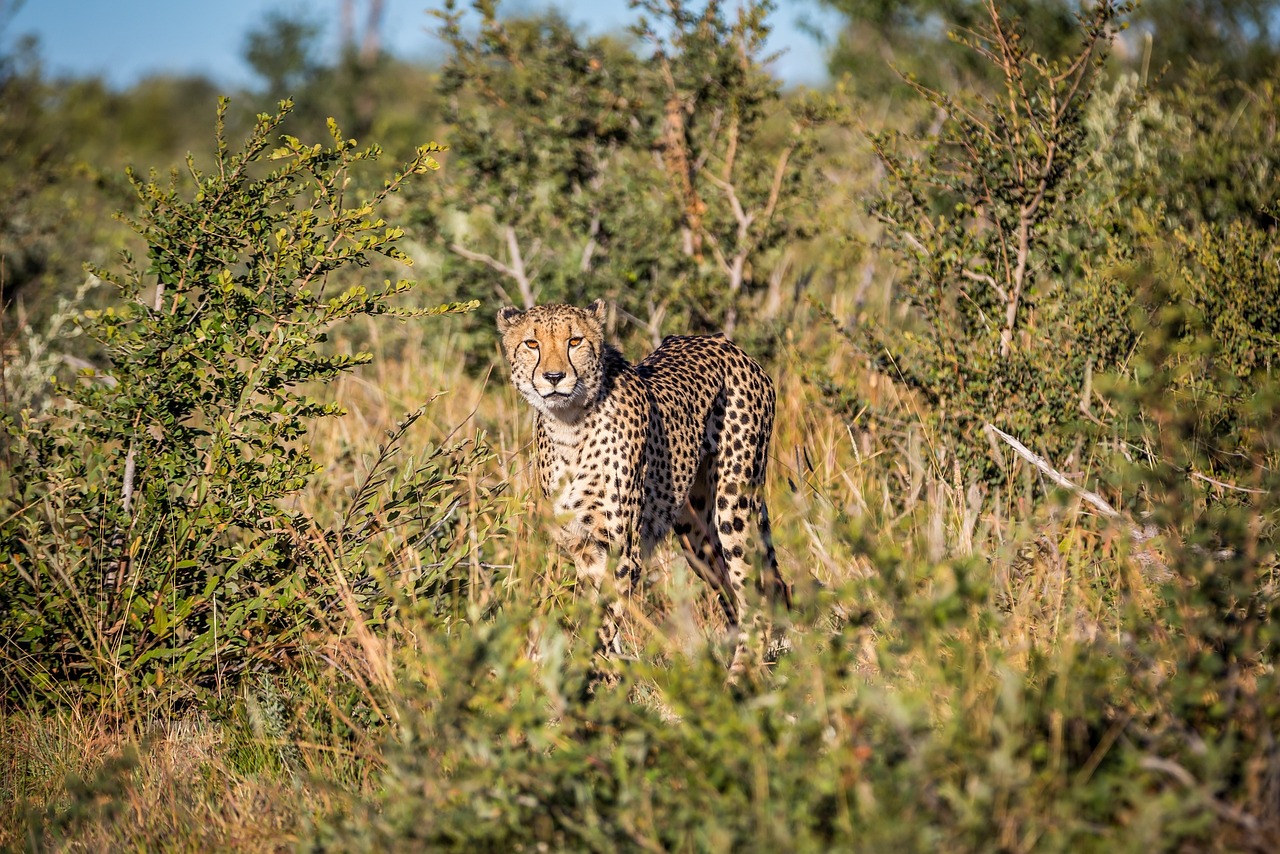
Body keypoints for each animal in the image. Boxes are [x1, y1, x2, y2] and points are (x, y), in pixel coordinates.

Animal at [499, 300, 788, 676]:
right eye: (531, 344)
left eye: (574, 341)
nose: (553, 377)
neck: (570, 425)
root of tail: (722, 341)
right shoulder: (583, 546)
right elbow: (598, 617)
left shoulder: (623, 549)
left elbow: (603, 623)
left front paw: (592, 675)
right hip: (697, 535)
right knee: (741, 597)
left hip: (734, 505)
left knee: (756, 597)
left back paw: (739, 678)